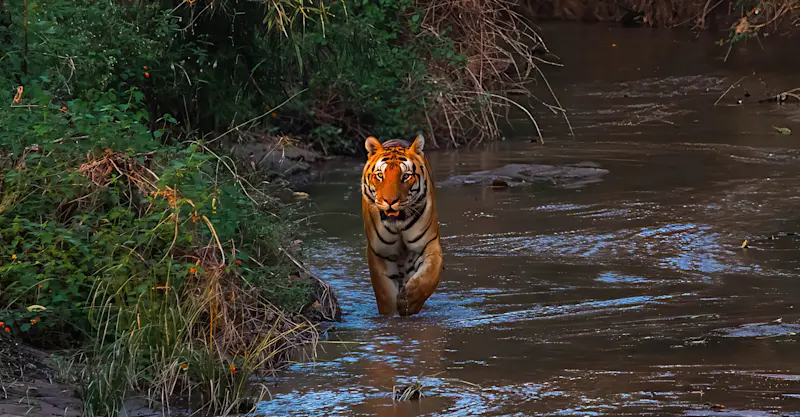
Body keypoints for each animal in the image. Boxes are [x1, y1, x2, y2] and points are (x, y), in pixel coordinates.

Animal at [360, 135, 443, 316]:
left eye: (406, 176)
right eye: (380, 175)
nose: (390, 201)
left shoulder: (429, 243)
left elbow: (430, 275)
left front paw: (409, 301)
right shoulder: (379, 253)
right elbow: (385, 294)